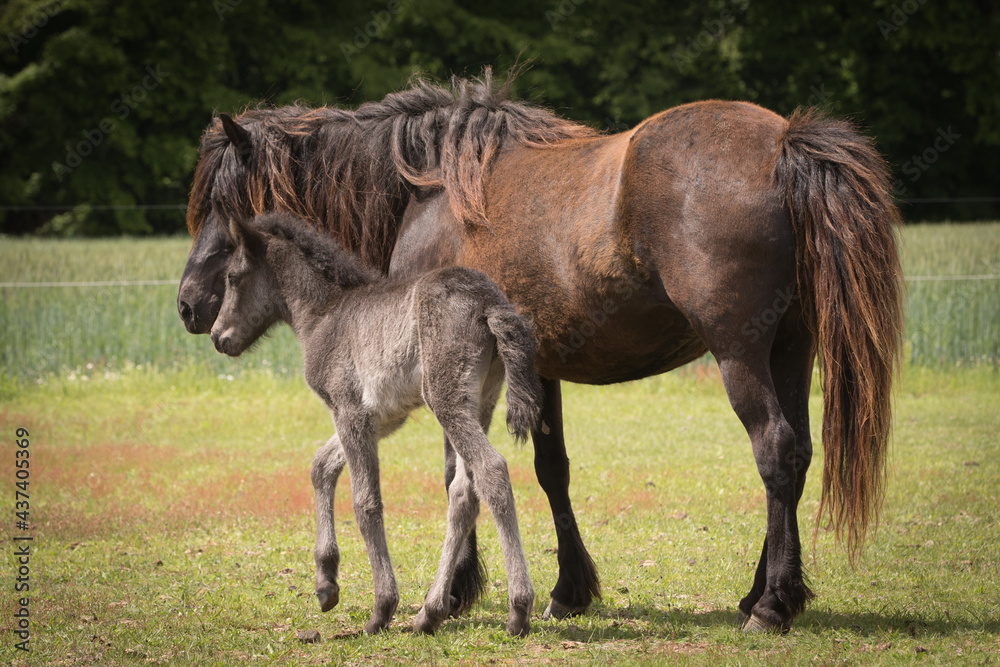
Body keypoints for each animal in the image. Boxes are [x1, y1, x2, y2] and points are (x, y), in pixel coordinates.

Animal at [209, 213, 540, 636]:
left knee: (492, 470)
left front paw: (382, 607)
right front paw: (326, 583)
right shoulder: (380, 417)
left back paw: (518, 609)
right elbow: (320, 465)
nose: (219, 336)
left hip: (446, 400)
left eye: (233, 277)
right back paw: (429, 612)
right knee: (463, 494)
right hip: (481, 401)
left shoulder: (348, 410)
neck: (325, 313)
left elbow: (365, 502)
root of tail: (490, 301)